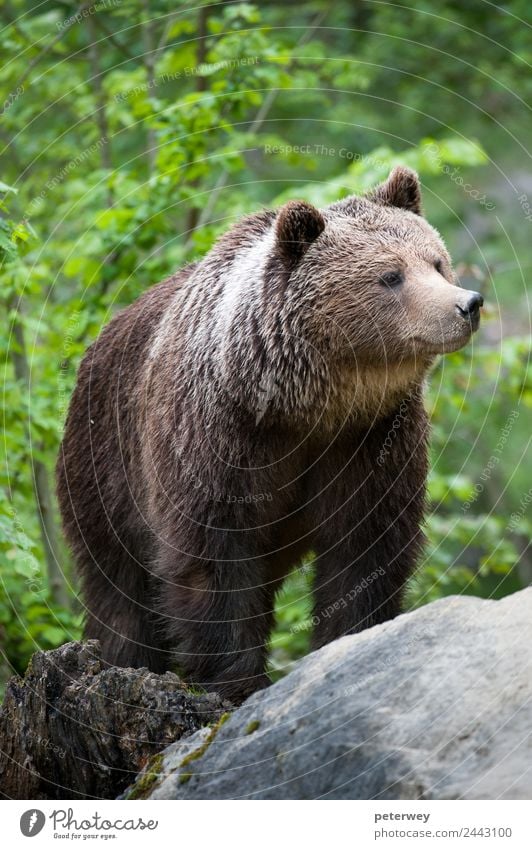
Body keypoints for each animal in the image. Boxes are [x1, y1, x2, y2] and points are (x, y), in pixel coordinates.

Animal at [57, 167, 482, 704]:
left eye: (436, 261)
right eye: (391, 275)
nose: (467, 304)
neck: (305, 407)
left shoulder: (373, 437)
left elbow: (366, 547)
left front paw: (348, 644)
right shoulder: (217, 434)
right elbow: (213, 556)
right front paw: (236, 682)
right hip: (103, 470)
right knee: (118, 589)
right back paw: (124, 659)